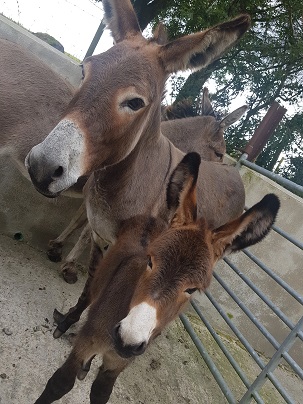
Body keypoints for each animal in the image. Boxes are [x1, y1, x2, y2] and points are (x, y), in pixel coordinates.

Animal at [35, 153, 280, 402]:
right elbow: (59, 384)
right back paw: (65, 323)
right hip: (99, 256)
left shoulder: (116, 366)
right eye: (150, 261)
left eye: (192, 289)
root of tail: (149, 218)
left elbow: (101, 394)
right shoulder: (85, 344)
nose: (127, 339)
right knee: (87, 294)